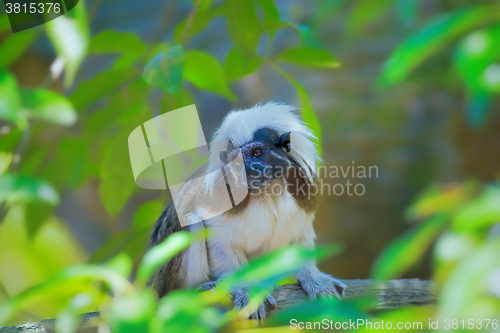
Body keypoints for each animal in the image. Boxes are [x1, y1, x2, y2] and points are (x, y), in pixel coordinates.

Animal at [146, 101, 346, 320]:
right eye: (236, 162)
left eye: (257, 153)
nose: (250, 169)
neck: (267, 193)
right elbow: (221, 244)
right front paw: (247, 291)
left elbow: (301, 238)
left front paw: (314, 278)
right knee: (191, 222)